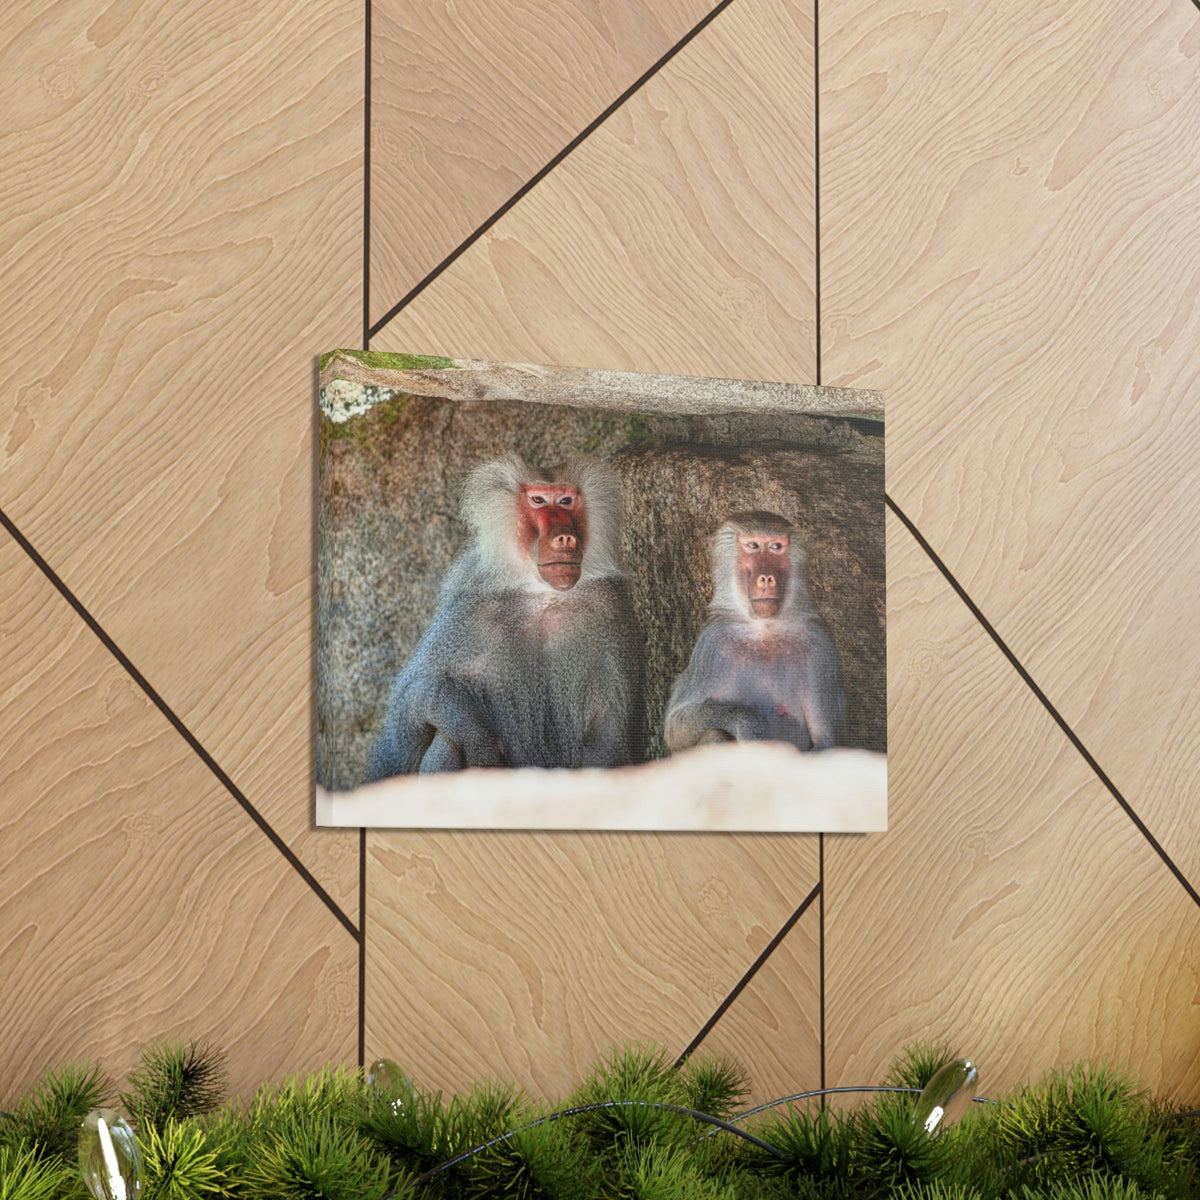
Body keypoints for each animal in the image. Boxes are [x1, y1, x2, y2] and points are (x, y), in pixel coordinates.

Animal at [365, 453, 646, 780]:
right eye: (538, 500)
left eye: (566, 501)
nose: (565, 538)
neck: (543, 594)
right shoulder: (470, 605)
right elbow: (408, 709)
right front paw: (477, 737)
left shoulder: (609, 609)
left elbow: (608, 736)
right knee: (445, 737)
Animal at [664, 512, 845, 754]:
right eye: (752, 546)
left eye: (776, 546)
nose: (767, 578)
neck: (764, 630)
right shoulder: (712, 643)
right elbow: (675, 726)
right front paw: (747, 723)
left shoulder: (820, 647)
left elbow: (825, 741)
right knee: (714, 733)